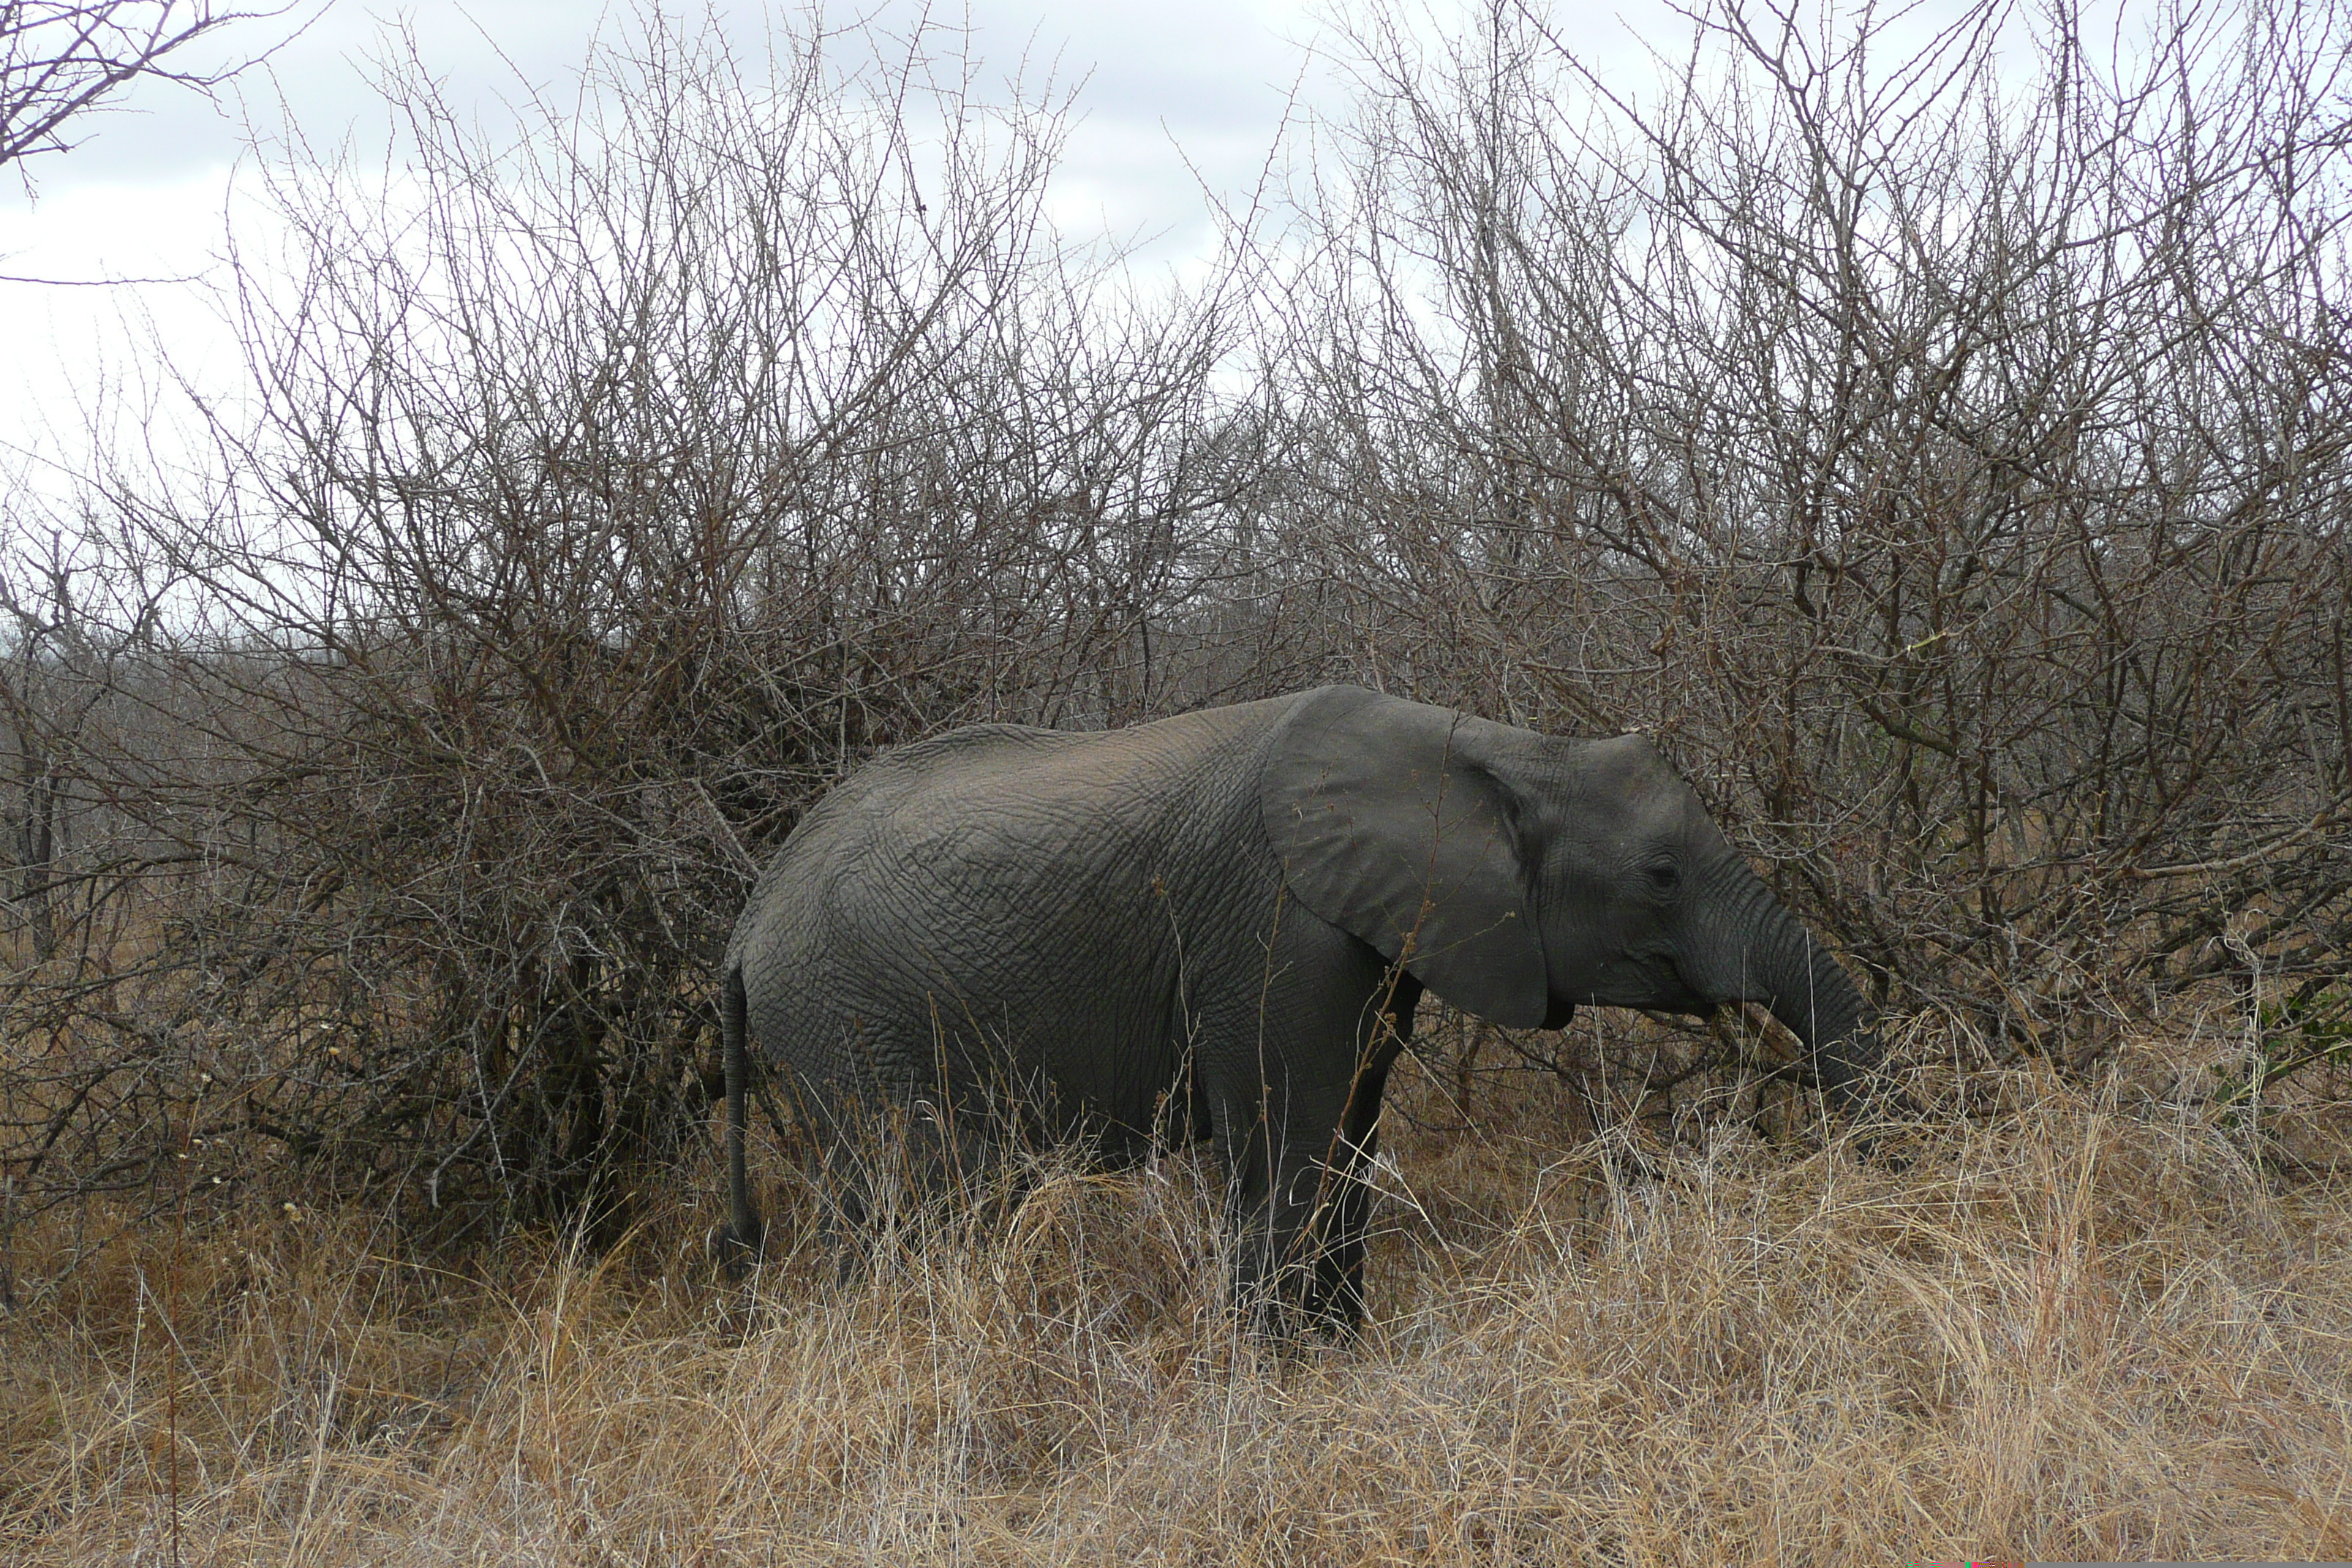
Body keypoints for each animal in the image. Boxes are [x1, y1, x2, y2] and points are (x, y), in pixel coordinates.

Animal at [715, 682, 1891, 1325]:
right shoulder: (1278, 927)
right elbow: (1294, 1145)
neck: (1488, 743)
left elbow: (1348, 1140)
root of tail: (746, 924)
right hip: (852, 1024)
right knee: (915, 1205)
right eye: (1660, 876)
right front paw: (1280, 1381)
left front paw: (1336, 1356)